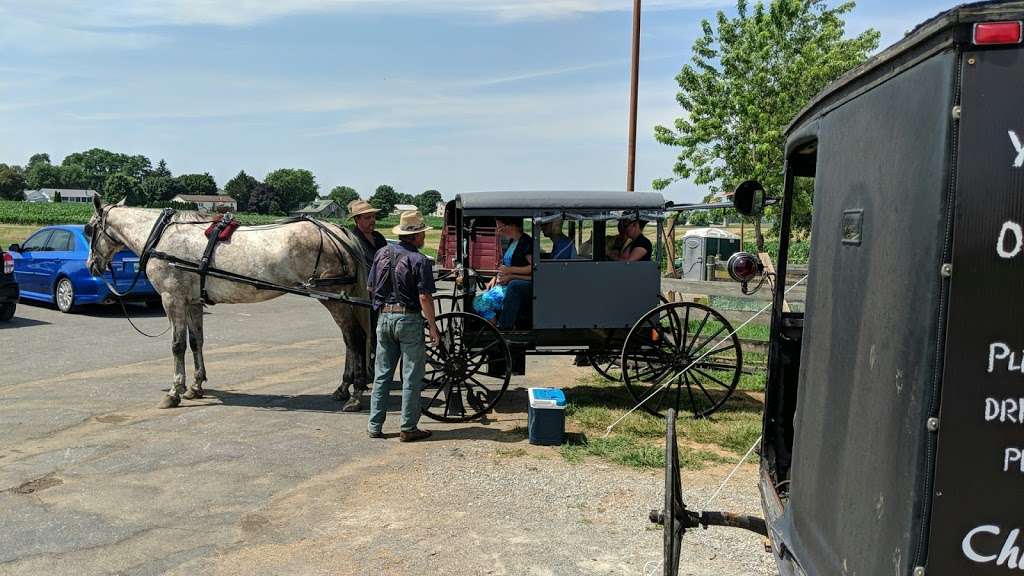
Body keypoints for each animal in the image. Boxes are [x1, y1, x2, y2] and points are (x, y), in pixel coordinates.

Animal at [84, 195, 372, 407]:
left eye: (89, 230)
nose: (91, 266)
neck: (161, 237)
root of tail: (337, 230)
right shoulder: (192, 302)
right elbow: (196, 341)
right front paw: (196, 386)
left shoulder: (172, 298)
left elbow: (177, 345)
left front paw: (174, 392)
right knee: (348, 340)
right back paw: (343, 388)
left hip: (336, 299)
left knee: (354, 338)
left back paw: (356, 393)